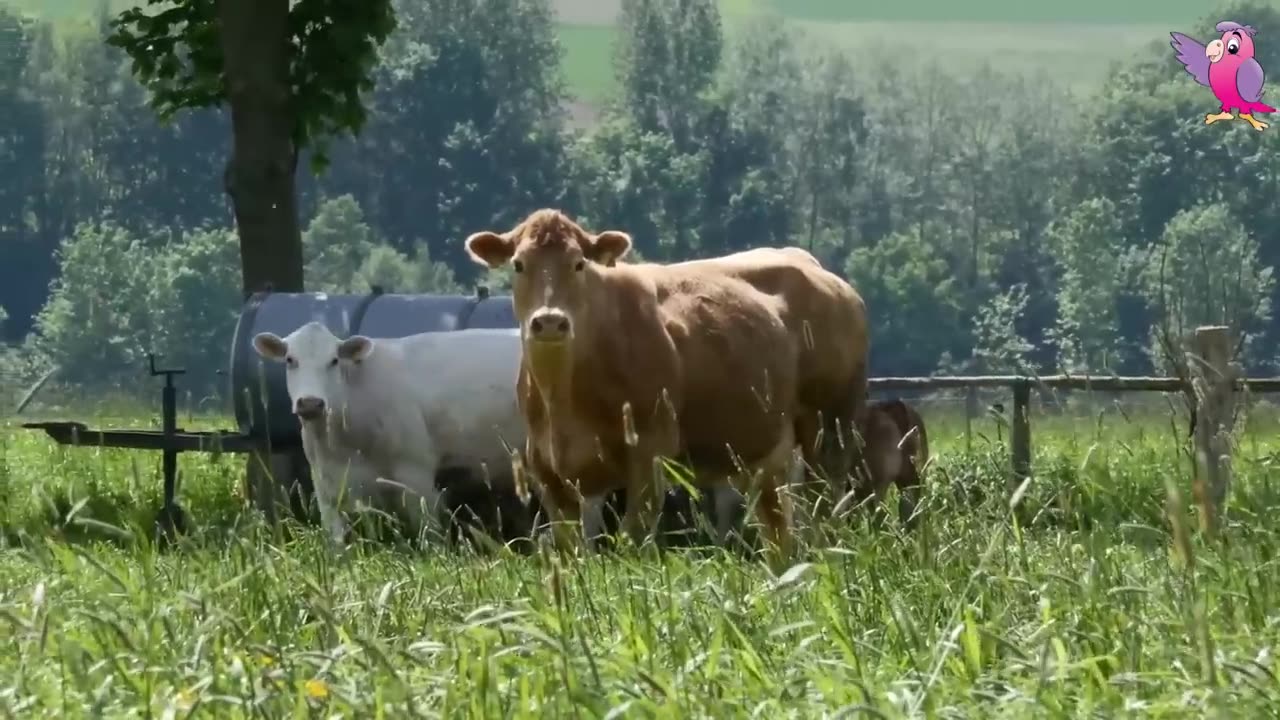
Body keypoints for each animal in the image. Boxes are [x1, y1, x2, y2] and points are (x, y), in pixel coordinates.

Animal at [247, 320, 527, 543]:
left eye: (334, 361)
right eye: (290, 360)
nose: (310, 403)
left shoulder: (417, 477)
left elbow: (430, 536)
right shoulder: (326, 485)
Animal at [460, 207, 798, 566]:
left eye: (578, 264)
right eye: (519, 264)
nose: (550, 321)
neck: (562, 394)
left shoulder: (649, 455)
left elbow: (631, 537)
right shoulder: (548, 474)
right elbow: (569, 547)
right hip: (764, 461)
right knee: (777, 525)